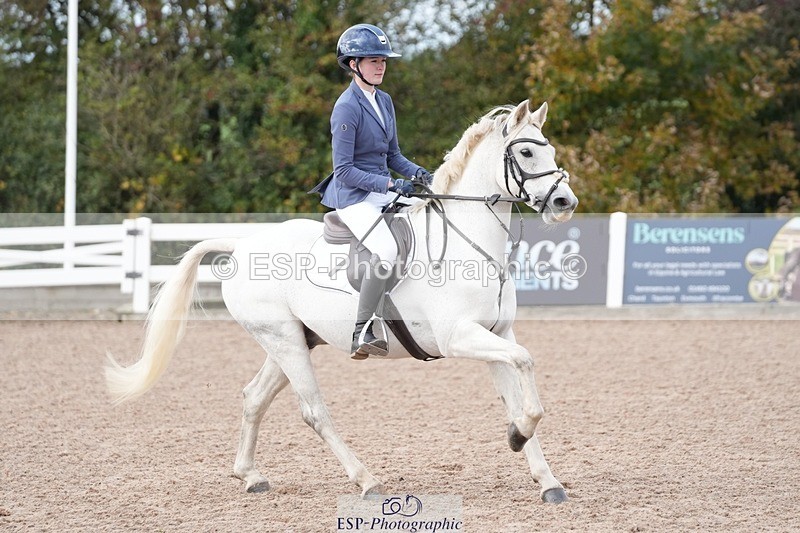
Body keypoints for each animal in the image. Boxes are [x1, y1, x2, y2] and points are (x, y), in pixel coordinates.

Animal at [105, 99, 579, 505]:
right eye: (526, 152)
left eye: (551, 149)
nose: (564, 202)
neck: (470, 242)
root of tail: (241, 245)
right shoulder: (459, 336)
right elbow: (527, 365)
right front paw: (518, 437)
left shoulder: (497, 334)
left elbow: (518, 391)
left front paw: (544, 476)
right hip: (284, 341)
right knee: (314, 411)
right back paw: (366, 480)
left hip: (292, 340)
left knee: (254, 397)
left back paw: (251, 476)